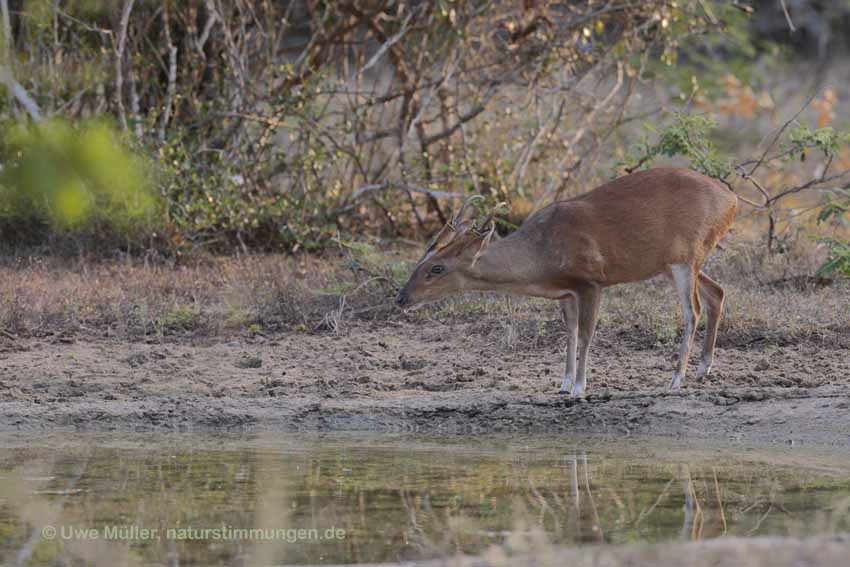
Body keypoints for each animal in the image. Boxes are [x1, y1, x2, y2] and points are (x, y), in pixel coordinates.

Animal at [398, 168, 736, 394]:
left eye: (437, 268)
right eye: (420, 262)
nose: (401, 298)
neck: (542, 254)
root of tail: (731, 199)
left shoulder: (591, 282)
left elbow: (586, 334)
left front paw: (579, 387)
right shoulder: (566, 293)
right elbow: (570, 333)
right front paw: (563, 383)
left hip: (686, 256)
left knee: (692, 310)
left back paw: (676, 379)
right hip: (672, 262)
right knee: (717, 292)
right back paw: (703, 369)